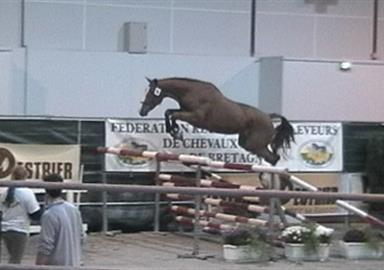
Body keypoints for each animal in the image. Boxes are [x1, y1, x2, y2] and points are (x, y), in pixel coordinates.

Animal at [139, 78, 294, 166]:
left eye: (151, 93)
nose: (142, 112)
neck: (192, 92)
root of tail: (268, 117)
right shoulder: (185, 111)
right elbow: (170, 112)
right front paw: (174, 132)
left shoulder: (195, 117)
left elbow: (172, 115)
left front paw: (176, 133)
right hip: (246, 143)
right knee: (272, 158)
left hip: (254, 144)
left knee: (274, 157)